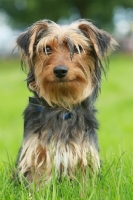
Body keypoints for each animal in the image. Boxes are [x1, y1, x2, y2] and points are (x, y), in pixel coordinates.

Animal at [16, 18, 116, 186]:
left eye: (77, 48)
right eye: (47, 49)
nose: (60, 70)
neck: (62, 105)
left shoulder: (83, 153)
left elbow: (84, 182)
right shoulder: (37, 153)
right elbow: (38, 180)